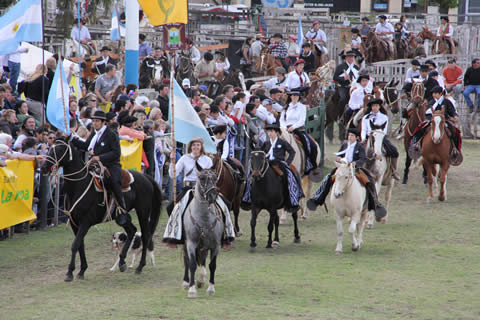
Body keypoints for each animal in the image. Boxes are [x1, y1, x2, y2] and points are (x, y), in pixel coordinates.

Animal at [41, 139, 161, 282]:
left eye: (59, 150)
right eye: (49, 148)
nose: (43, 167)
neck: (79, 186)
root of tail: (146, 177)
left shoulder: (85, 222)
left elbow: (75, 245)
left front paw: (70, 273)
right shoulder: (74, 223)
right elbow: (80, 245)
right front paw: (82, 270)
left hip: (143, 211)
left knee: (145, 236)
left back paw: (140, 267)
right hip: (122, 218)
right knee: (131, 231)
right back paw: (122, 263)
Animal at [182, 162, 223, 298]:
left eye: (215, 178)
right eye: (201, 178)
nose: (212, 196)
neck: (204, 219)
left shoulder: (215, 245)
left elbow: (212, 266)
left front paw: (211, 289)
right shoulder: (191, 244)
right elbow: (192, 264)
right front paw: (191, 290)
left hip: (204, 246)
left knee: (203, 260)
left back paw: (200, 280)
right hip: (185, 244)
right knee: (186, 259)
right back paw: (186, 282)